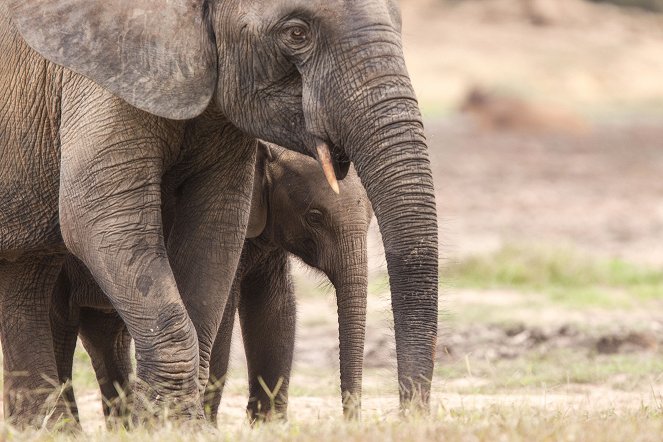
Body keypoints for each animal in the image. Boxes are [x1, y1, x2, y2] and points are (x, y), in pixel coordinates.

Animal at [50, 142, 374, 424]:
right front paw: (209, 424)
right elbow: (226, 313)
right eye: (314, 216)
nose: (350, 422)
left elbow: (275, 307)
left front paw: (271, 428)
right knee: (61, 329)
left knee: (105, 336)